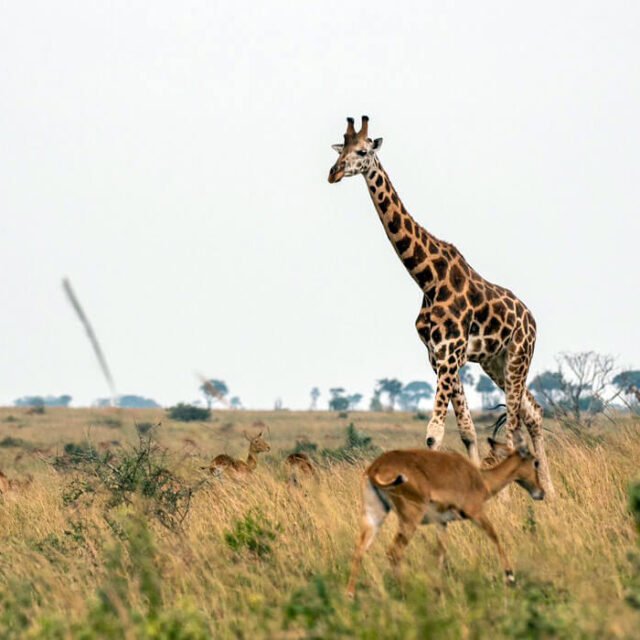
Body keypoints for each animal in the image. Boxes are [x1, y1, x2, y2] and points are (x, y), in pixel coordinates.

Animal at [328, 115, 555, 497]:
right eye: (339, 149)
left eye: (362, 151)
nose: (333, 172)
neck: (427, 279)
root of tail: (532, 319)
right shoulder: (438, 356)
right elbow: (467, 431)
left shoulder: (450, 354)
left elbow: (434, 434)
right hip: (495, 362)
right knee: (533, 414)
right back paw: (549, 491)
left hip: (518, 358)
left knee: (514, 425)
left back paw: (521, 493)